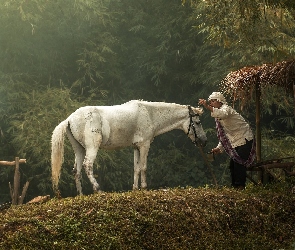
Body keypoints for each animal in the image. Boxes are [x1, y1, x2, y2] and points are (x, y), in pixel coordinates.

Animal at [51, 100, 207, 195]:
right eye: (198, 122)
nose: (204, 141)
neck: (149, 113)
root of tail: (70, 118)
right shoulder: (144, 145)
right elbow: (143, 167)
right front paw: (144, 187)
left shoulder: (136, 147)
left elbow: (136, 168)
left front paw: (135, 189)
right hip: (91, 147)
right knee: (87, 165)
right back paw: (98, 189)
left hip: (79, 149)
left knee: (76, 171)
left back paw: (81, 194)